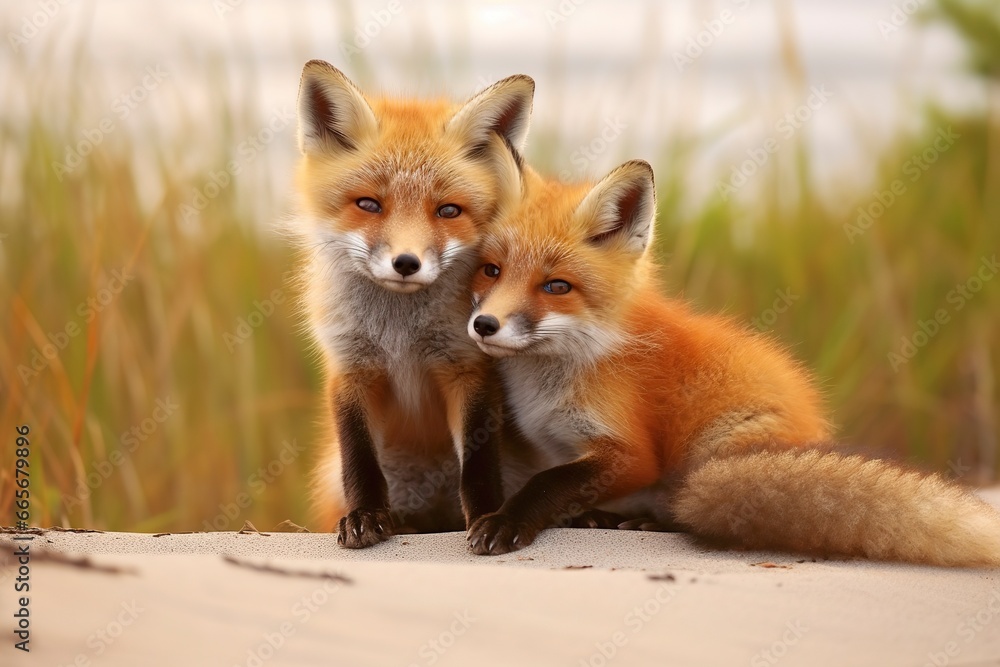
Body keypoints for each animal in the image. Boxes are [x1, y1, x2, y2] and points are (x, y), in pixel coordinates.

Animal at [291, 60, 537, 547]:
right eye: (369, 204)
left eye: (448, 211)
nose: (406, 263)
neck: (399, 332)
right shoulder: (351, 367)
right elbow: (359, 460)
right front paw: (366, 516)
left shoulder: (466, 368)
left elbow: (478, 466)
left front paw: (487, 517)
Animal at [463, 159, 1000, 566]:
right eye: (492, 270)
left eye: (557, 286)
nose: (485, 325)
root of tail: (816, 435)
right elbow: (557, 480)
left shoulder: (630, 452)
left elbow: (549, 482)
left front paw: (507, 520)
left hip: (710, 455)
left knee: (684, 511)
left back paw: (642, 521)